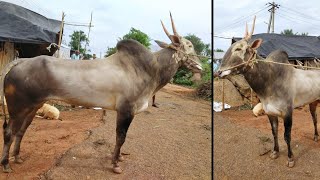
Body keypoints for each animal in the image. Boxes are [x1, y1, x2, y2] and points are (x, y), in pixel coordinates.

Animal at [0, 14, 202, 174]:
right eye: (189, 45)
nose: (200, 66)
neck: (151, 69)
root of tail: (19, 62)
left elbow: (121, 138)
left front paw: (119, 158)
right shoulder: (126, 110)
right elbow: (121, 137)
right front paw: (115, 164)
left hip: (34, 106)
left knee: (21, 131)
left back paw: (17, 157)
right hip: (18, 107)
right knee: (9, 132)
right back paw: (6, 164)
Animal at [216, 16, 320, 168]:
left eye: (239, 48)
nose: (219, 71)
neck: (270, 81)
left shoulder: (288, 113)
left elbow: (287, 136)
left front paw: (290, 158)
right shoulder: (270, 113)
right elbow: (274, 132)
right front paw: (275, 152)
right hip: (313, 102)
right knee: (314, 118)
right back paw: (316, 136)